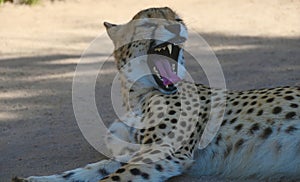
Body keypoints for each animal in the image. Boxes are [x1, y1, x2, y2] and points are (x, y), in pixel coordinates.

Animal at [13, 6, 300, 181]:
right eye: (148, 22)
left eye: (178, 20)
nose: (176, 28)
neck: (137, 97)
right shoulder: (139, 150)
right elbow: (92, 169)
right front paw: (35, 178)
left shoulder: (165, 149)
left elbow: (115, 176)